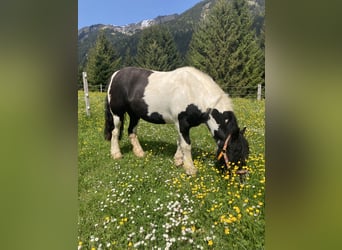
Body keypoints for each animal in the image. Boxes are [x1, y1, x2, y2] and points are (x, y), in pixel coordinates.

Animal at [103, 66, 248, 176]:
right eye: (236, 150)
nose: (242, 177)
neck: (195, 92)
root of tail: (116, 74)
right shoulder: (183, 123)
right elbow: (186, 145)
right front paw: (190, 168)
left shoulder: (181, 125)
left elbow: (180, 142)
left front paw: (178, 160)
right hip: (117, 114)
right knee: (115, 132)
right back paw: (116, 154)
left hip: (134, 114)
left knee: (131, 131)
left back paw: (139, 153)